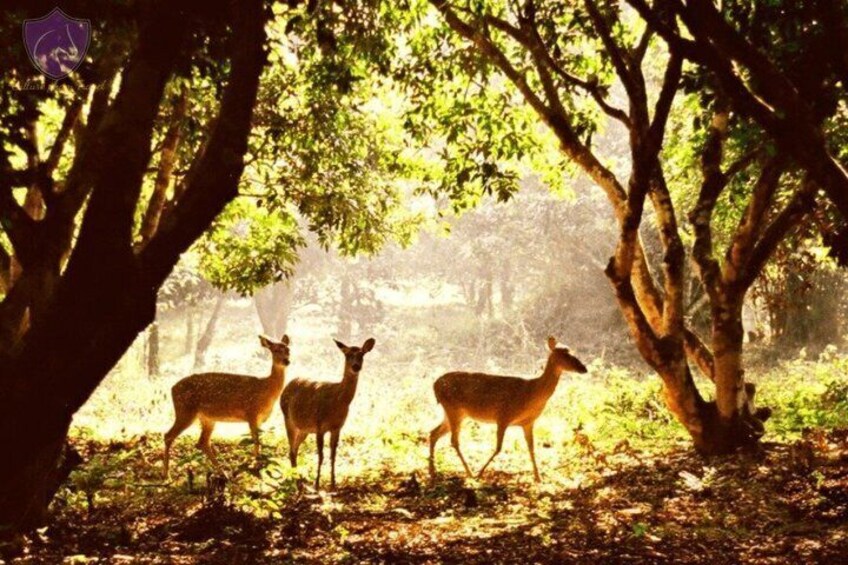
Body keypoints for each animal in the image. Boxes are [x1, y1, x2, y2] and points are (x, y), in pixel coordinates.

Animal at [163, 334, 290, 478]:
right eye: (275, 350)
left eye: (288, 350)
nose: (286, 361)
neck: (266, 390)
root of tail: (172, 389)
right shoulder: (251, 412)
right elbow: (256, 441)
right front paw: (256, 466)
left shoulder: (260, 419)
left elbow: (259, 440)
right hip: (185, 411)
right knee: (168, 436)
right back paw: (166, 474)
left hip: (207, 418)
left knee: (202, 442)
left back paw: (222, 472)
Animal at [280, 337, 375, 490]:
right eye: (347, 355)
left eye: (362, 355)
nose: (356, 367)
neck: (337, 401)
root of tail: (287, 385)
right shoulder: (320, 426)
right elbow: (321, 455)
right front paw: (317, 484)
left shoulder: (337, 427)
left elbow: (333, 455)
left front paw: (333, 483)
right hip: (287, 418)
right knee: (291, 449)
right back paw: (298, 483)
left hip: (304, 429)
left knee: (294, 450)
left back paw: (300, 481)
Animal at [429, 336, 587, 482]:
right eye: (565, 354)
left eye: (571, 351)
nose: (584, 368)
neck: (532, 393)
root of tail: (435, 385)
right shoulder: (503, 415)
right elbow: (498, 448)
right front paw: (480, 474)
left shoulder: (528, 422)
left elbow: (531, 448)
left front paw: (538, 477)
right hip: (453, 408)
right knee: (453, 440)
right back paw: (470, 473)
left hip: (456, 413)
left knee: (433, 433)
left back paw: (432, 471)